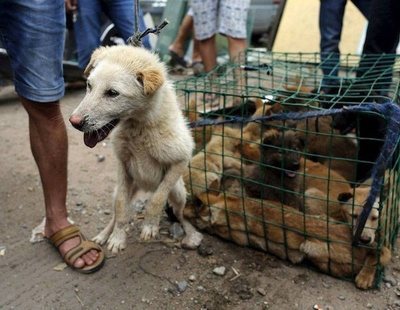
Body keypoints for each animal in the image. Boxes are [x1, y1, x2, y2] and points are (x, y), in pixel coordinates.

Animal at [68, 46, 203, 254]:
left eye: (112, 93)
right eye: (89, 85)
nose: (74, 122)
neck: (139, 126)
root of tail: (146, 186)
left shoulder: (180, 159)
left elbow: (156, 200)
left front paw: (149, 226)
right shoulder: (123, 165)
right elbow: (122, 207)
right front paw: (117, 238)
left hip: (179, 193)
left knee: (179, 212)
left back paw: (189, 232)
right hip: (121, 189)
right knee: (116, 211)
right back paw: (103, 235)